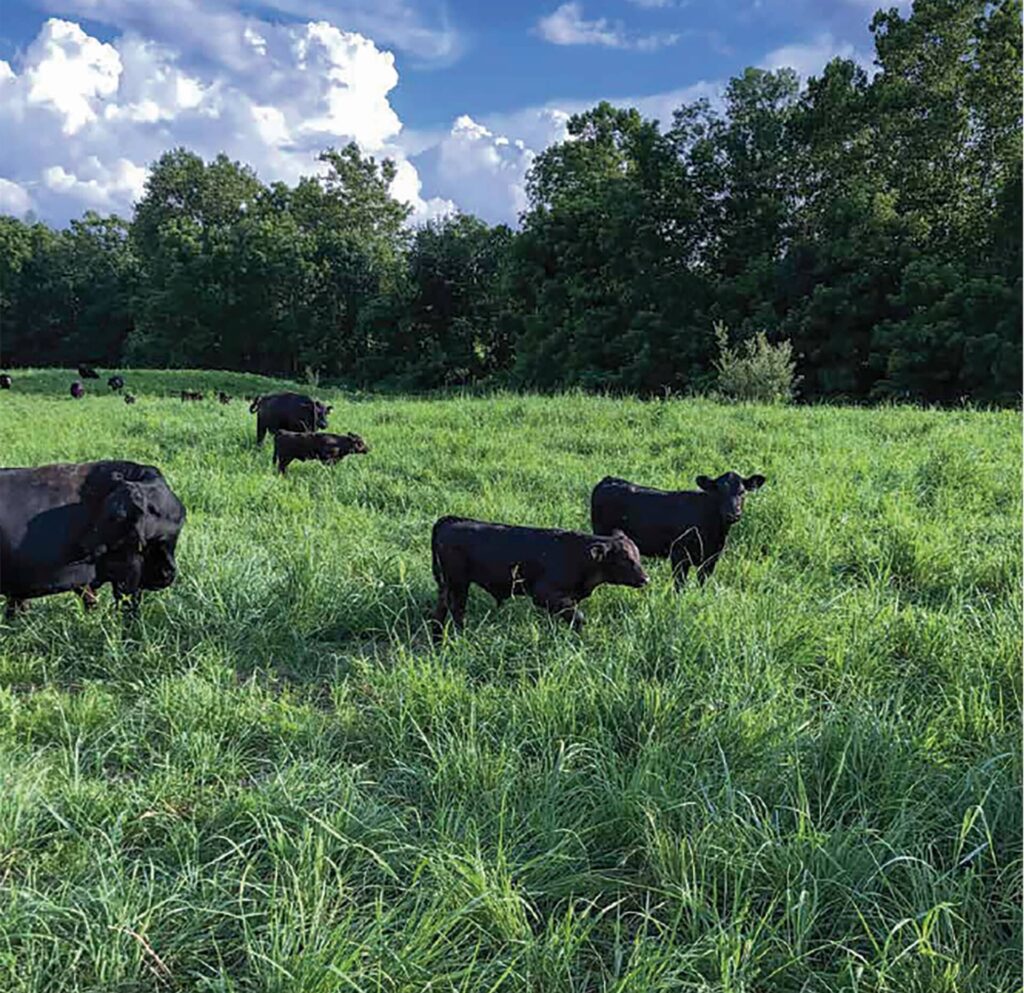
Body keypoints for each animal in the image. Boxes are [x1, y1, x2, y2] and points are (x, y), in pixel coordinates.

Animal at [432, 513, 647, 638]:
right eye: (625, 559)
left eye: (638, 556)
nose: (646, 578)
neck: (577, 555)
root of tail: (452, 521)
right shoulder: (543, 594)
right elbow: (578, 617)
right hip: (458, 583)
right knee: (457, 609)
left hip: (447, 585)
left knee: (442, 608)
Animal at [589, 470, 765, 585]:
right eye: (718, 492)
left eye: (742, 492)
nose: (732, 514)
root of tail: (609, 480)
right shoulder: (679, 555)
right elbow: (679, 586)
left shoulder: (711, 558)